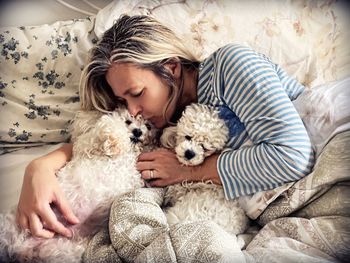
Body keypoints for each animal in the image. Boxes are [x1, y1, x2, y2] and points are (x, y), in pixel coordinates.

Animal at [0, 106, 158, 263]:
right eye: (128, 121)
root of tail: (19, 247)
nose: (138, 131)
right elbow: (107, 127)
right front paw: (115, 140)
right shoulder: (85, 145)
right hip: (7, 227)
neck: (129, 153)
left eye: (149, 126)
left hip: (59, 252)